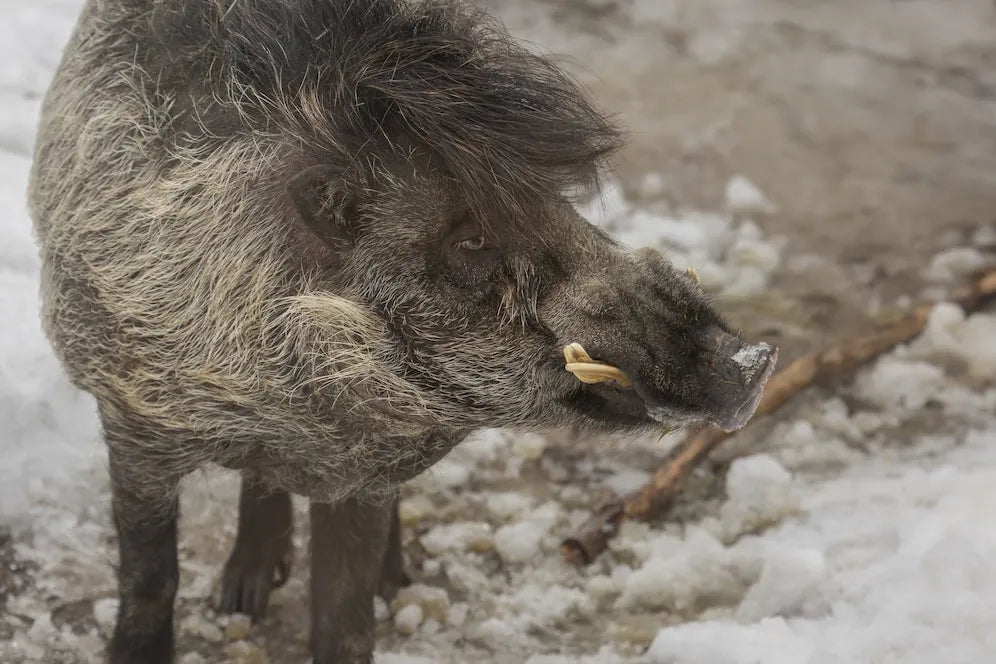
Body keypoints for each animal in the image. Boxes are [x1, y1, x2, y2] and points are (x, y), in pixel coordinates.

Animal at [26, 0, 776, 662]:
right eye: (471, 238)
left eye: (555, 202)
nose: (756, 359)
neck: (279, 403)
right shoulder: (130, 415)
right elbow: (150, 575)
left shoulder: (368, 467)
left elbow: (345, 613)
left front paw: (369, 598)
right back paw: (242, 597)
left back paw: (389, 583)